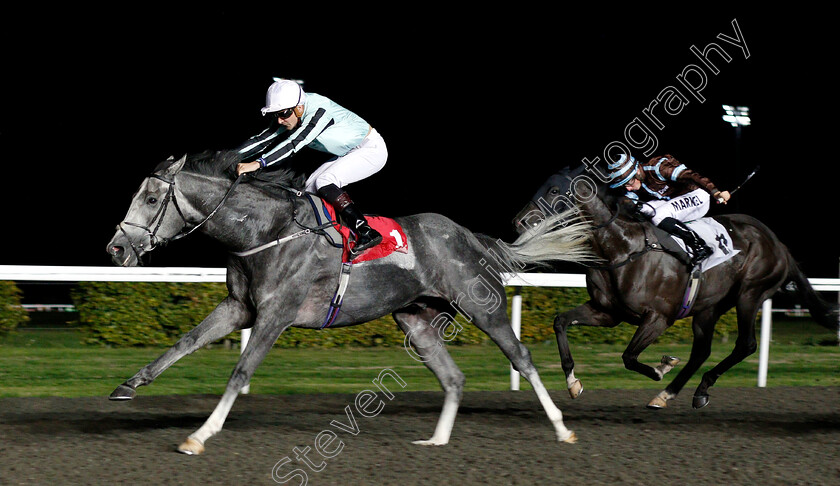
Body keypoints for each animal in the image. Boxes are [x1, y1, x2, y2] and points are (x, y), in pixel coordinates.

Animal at [105, 150, 592, 454]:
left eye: (152, 198)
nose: (116, 249)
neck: (265, 231)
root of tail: (470, 237)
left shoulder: (275, 315)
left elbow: (239, 372)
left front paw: (200, 435)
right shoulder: (239, 307)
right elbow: (185, 342)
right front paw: (128, 385)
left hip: (482, 308)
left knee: (521, 357)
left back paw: (563, 427)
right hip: (415, 320)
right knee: (453, 378)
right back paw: (436, 441)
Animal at [516, 164, 836, 410]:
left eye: (554, 190)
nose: (520, 221)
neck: (622, 248)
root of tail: (778, 243)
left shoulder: (659, 317)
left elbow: (629, 357)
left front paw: (662, 366)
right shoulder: (606, 313)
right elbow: (561, 322)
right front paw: (573, 383)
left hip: (750, 294)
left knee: (745, 344)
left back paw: (692, 387)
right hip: (709, 306)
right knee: (702, 351)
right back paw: (674, 394)